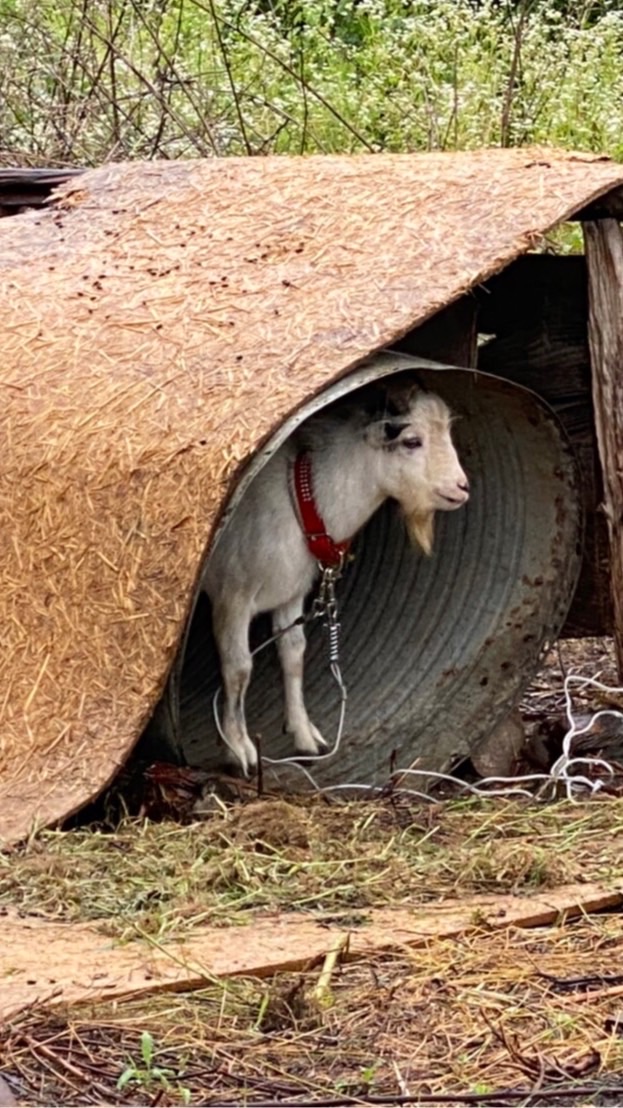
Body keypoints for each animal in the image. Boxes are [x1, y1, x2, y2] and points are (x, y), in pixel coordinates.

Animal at [201, 376, 467, 775]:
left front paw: (305, 735)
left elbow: (293, 653)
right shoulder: (232, 596)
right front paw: (239, 749)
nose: (462, 488)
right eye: (411, 441)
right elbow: (239, 668)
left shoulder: (290, 593)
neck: (300, 500)